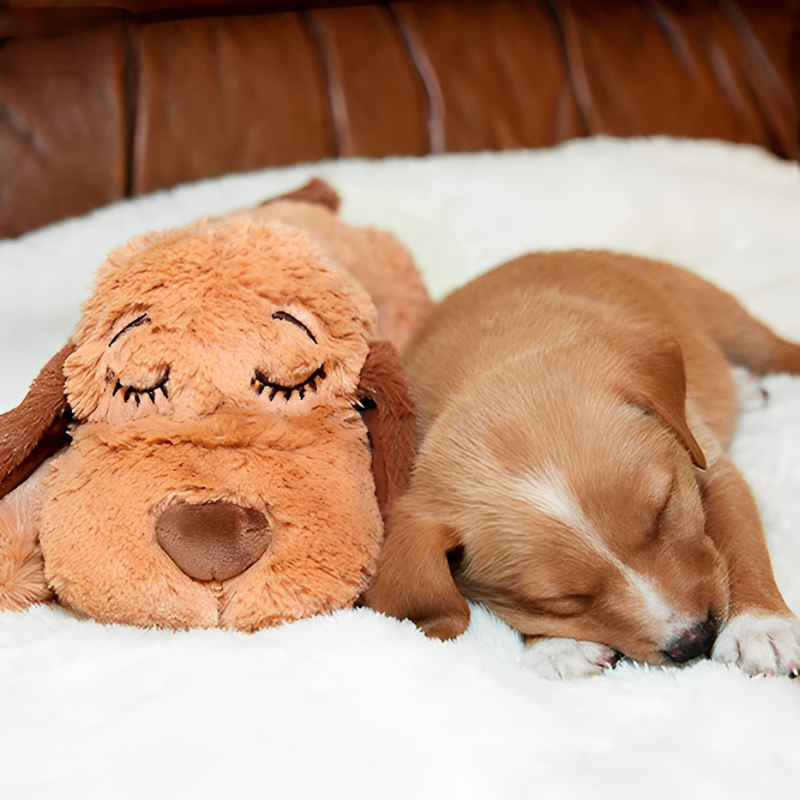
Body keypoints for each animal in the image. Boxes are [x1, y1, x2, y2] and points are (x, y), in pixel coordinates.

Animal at [366, 253, 800, 680]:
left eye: (664, 510)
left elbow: (742, 541)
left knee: (773, 348)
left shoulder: (712, 468)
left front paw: (759, 626)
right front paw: (556, 645)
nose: (695, 640)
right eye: (564, 600)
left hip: (722, 316)